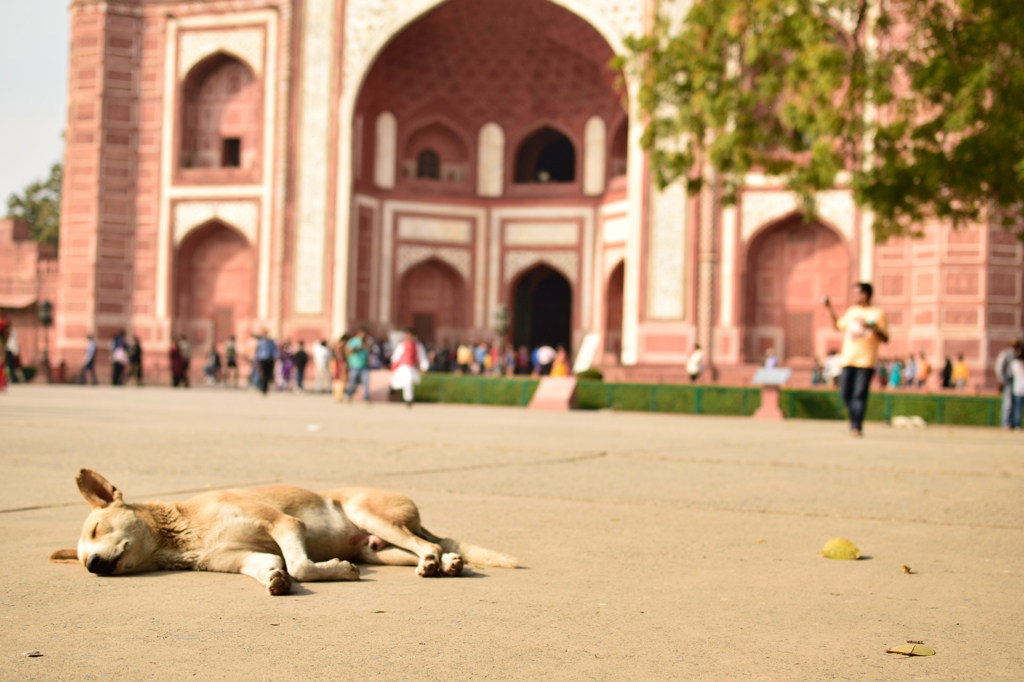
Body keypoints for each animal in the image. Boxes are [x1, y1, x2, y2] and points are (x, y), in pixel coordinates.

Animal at [50, 471, 516, 593]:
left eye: (97, 527)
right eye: (83, 553)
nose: (92, 565)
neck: (177, 535)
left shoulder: (283, 524)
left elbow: (302, 564)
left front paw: (334, 572)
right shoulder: (239, 558)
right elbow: (272, 565)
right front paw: (275, 579)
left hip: (370, 515)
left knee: (424, 543)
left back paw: (439, 561)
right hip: (378, 549)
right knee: (423, 549)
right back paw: (448, 563)